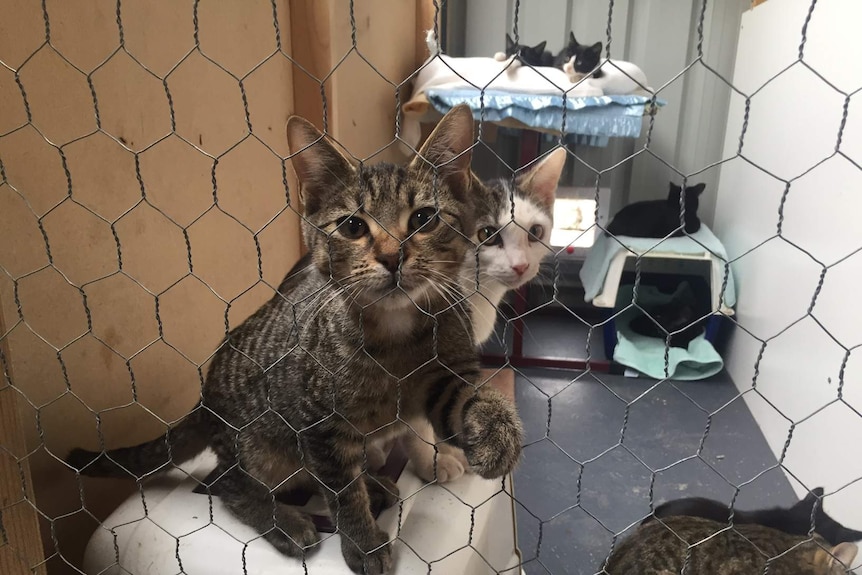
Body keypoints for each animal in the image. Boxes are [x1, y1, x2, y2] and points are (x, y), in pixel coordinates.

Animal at [66, 104, 528, 575]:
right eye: (353, 226)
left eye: (424, 219)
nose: (392, 256)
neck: (396, 334)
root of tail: (204, 400)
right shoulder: (319, 425)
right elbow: (342, 495)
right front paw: (363, 545)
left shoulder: (442, 377)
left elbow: (463, 399)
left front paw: (497, 429)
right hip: (262, 449)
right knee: (228, 482)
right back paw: (285, 520)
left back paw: (375, 483)